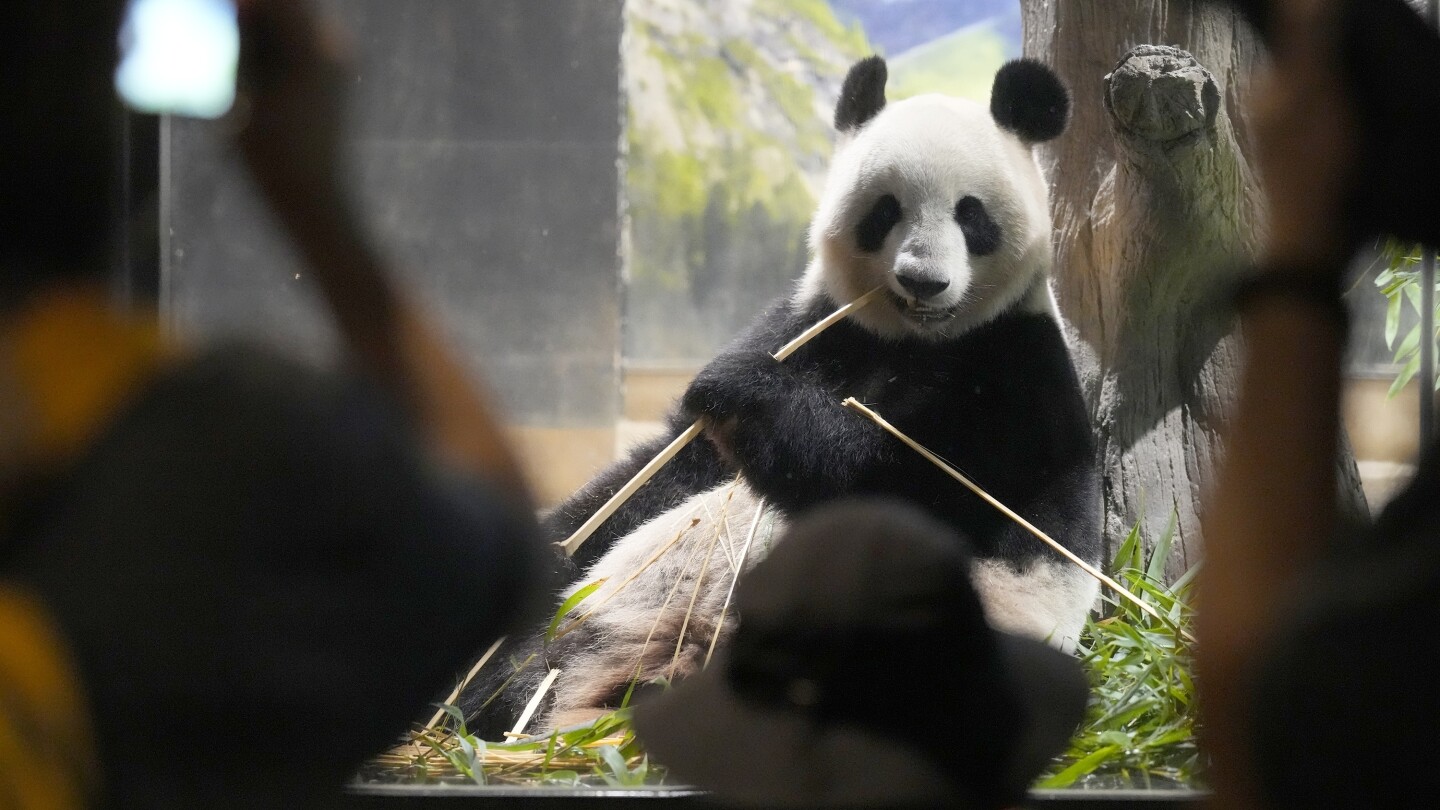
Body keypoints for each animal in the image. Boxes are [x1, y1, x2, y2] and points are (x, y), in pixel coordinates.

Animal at [460, 55, 1100, 737]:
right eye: (886, 210)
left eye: (971, 215)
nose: (922, 280)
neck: (914, 341)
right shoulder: (814, 324)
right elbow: (660, 473)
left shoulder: (1015, 376)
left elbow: (912, 485)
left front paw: (745, 393)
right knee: (545, 638)